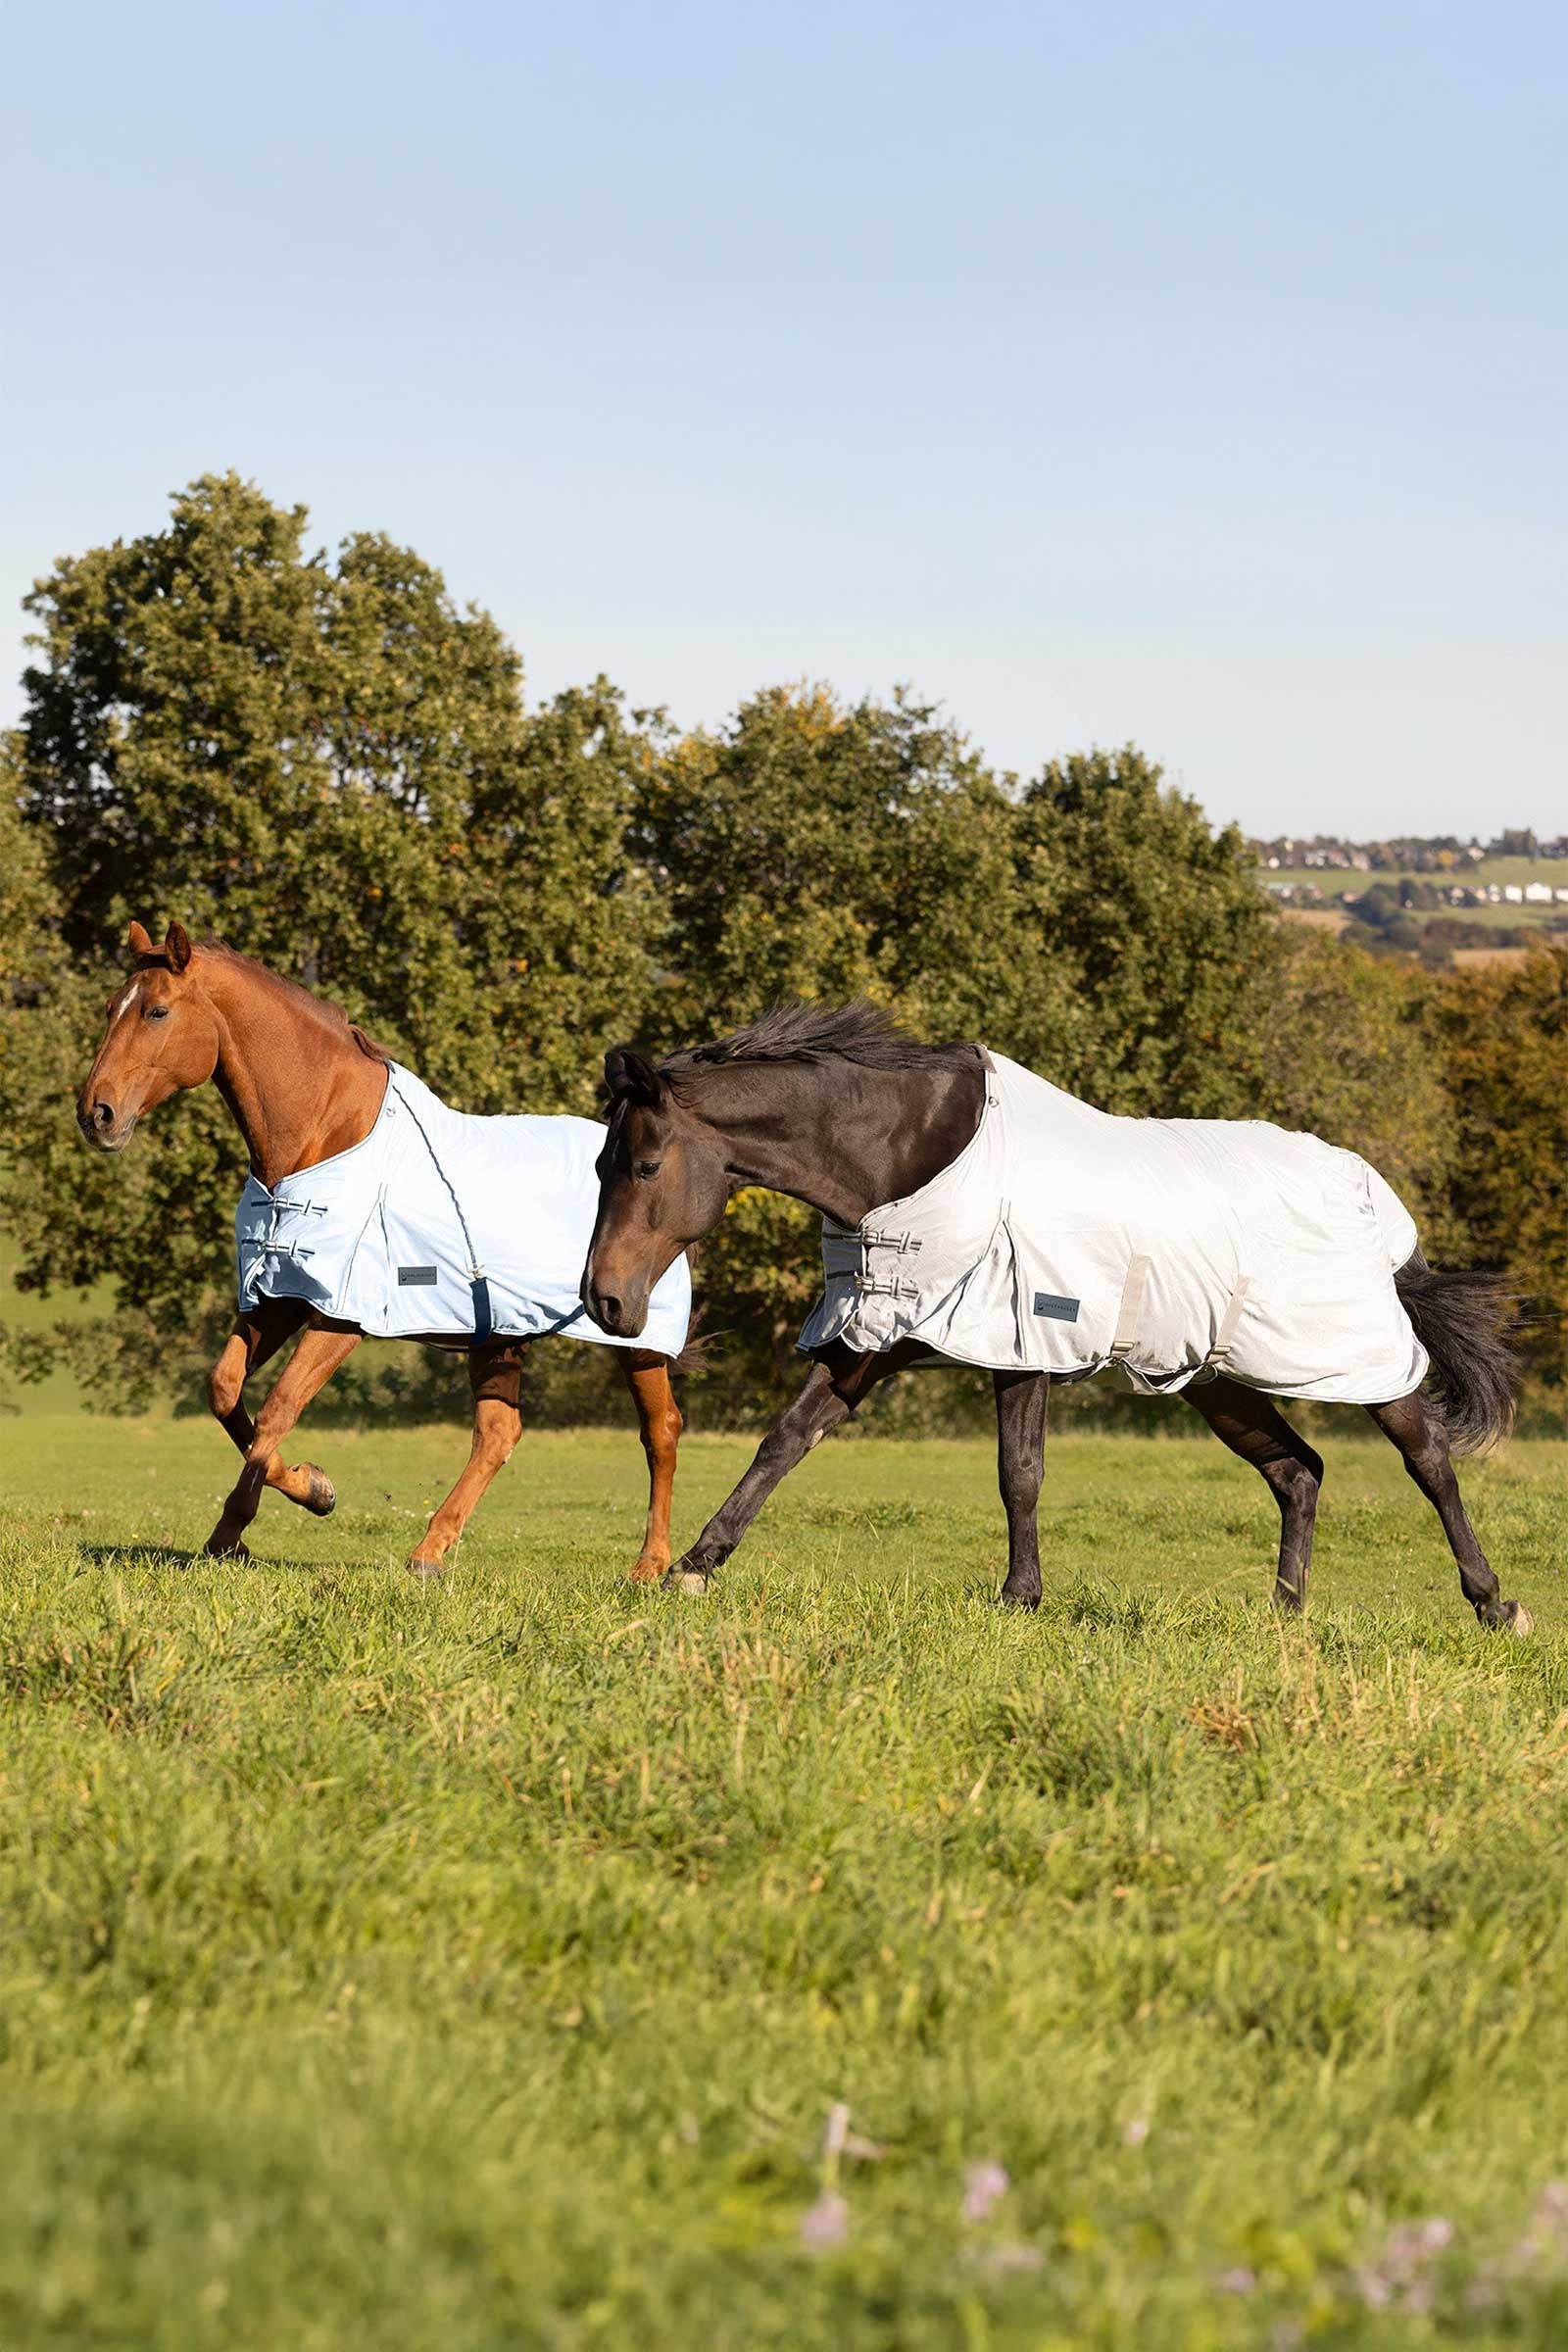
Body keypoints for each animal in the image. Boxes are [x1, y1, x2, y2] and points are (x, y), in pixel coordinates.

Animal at [76, 921, 690, 1580]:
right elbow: (225, 1390)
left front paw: (235, 1531)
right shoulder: (281, 1297)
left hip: (634, 1336)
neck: (324, 1137)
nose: (96, 1114)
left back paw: (652, 1565)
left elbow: (279, 1408)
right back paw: (429, 1552)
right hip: (498, 1335)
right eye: (109, 1007)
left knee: (661, 1430)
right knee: (498, 1433)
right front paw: (313, 1489)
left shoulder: (340, 1315)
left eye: (157, 1010)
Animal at [581, 1001, 1530, 1633]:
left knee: (1429, 1464)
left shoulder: (1023, 1339)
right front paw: (694, 1569)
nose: (605, 1300)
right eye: (600, 1163)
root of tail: (1379, 1211)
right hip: (1215, 1380)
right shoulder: (879, 1340)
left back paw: (1495, 1604)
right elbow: (784, 1442)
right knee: (1297, 1470)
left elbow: (1020, 1473)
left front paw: (1019, 1597)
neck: (915, 1157)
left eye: (645, 1164)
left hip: (1363, 1364)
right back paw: (1284, 1615)